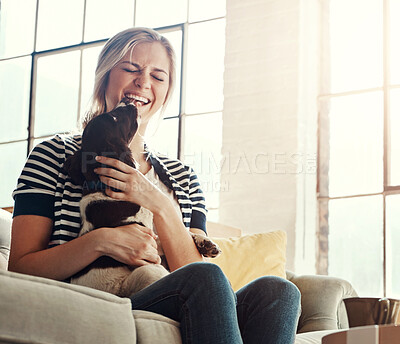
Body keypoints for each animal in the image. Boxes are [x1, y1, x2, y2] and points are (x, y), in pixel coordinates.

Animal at [64, 98, 223, 296]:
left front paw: (205, 243)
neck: (103, 186)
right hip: (142, 274)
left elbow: (179, 234)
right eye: (114, 117)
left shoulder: (151, 236)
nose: (126, 100)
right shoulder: (145, 238)